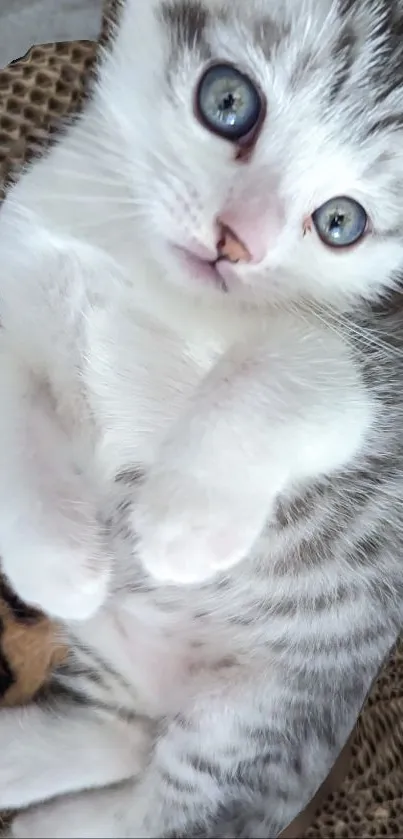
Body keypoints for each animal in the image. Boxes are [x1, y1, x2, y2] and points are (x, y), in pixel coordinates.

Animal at [0, 0, 403, 836]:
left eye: (339, 222)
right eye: (227, 101)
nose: (236, 242)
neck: (141, 271)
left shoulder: (358, 373)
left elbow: (271, 378)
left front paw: (182, 522)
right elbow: (13, 419)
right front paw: (54, 557)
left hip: (248, 717)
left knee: (157, 805)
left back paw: (44, 816)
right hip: (111, 654)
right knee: (119, 734)